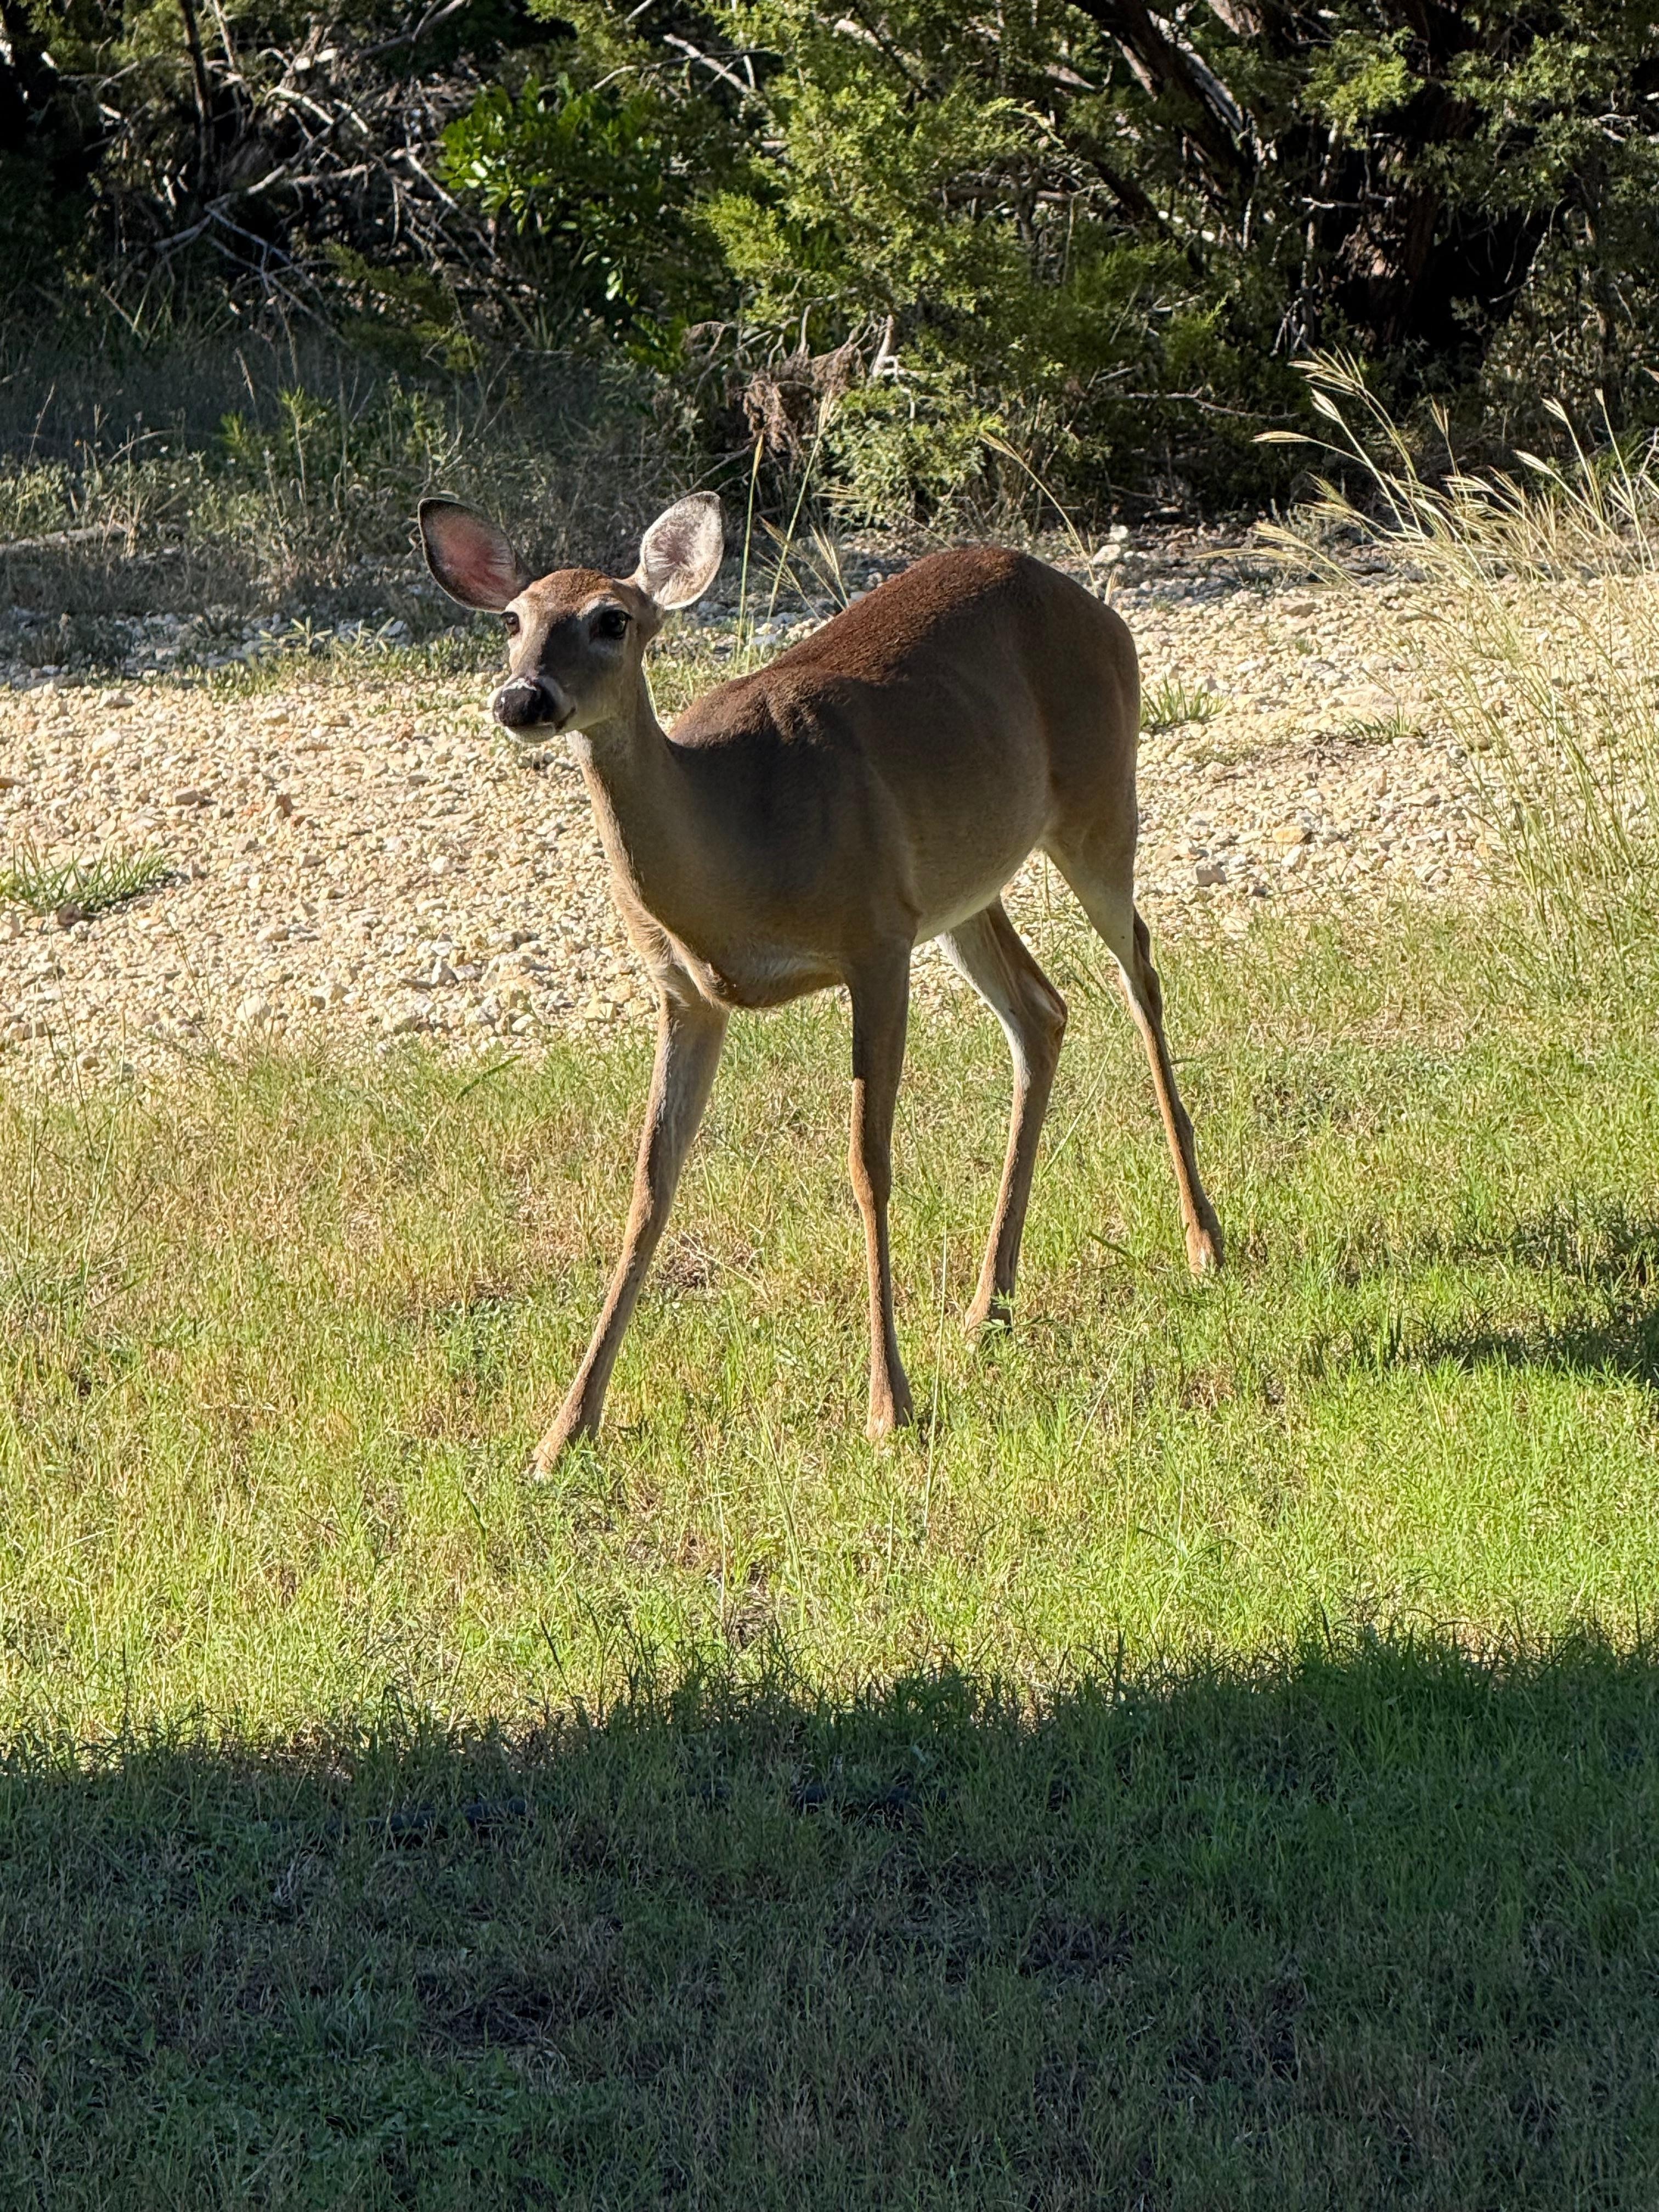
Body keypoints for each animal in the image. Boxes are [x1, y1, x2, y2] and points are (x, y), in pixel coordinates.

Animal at [417, 491, 1223, 1472]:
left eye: (613, 619)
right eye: (513, 620)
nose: (522, 697)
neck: (736, 843)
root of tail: (1094, 606)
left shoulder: (873, 939)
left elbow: (867, 1164)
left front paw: (888, 1406)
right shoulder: (684, 995)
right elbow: (650, 1186)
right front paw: (562, 1433)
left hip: (1098, 799)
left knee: (1139, 972)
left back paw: (1203, 1243)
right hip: (960, 894)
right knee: (1043, 1011)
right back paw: (986, 1306)